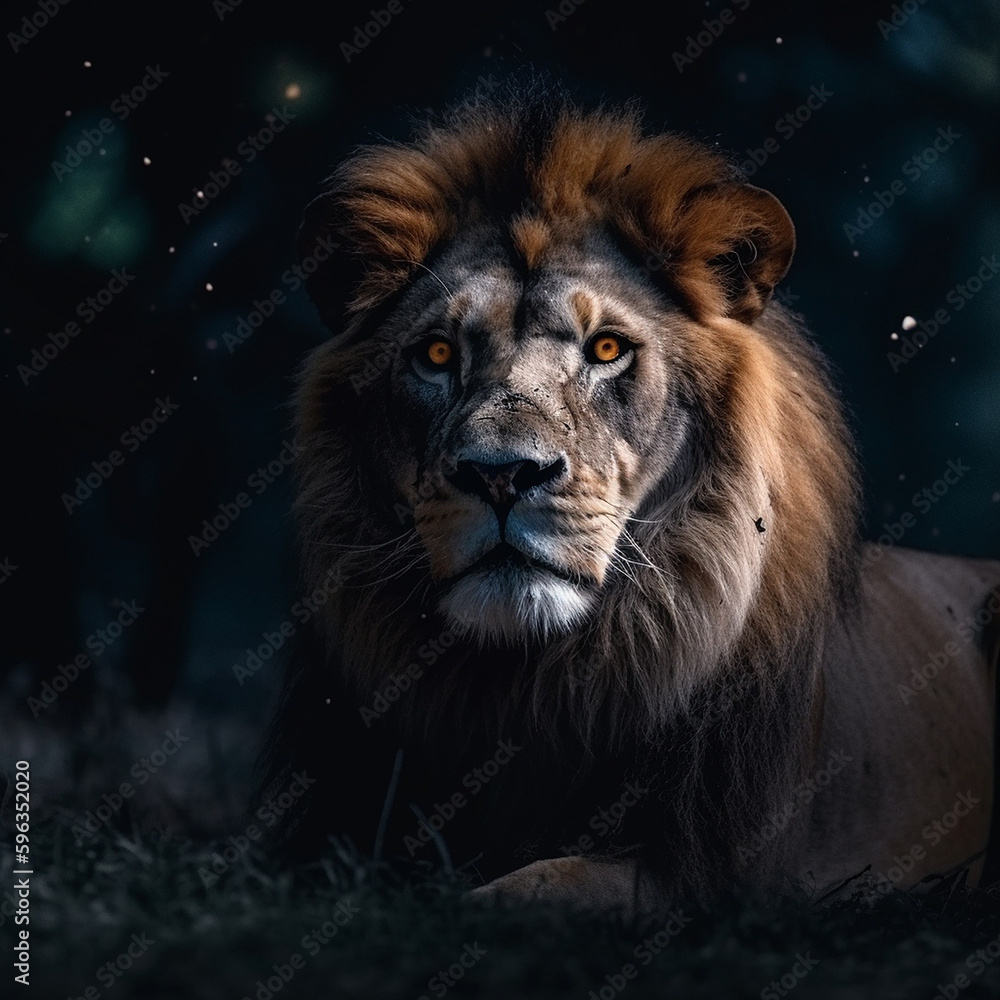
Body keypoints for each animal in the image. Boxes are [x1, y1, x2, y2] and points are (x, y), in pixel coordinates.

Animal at [262, 81, 999, 910]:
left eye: (607, 349)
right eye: (438, 354)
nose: (501, 474)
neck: (518, 684)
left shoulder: (715, 877)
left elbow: (533, 885)